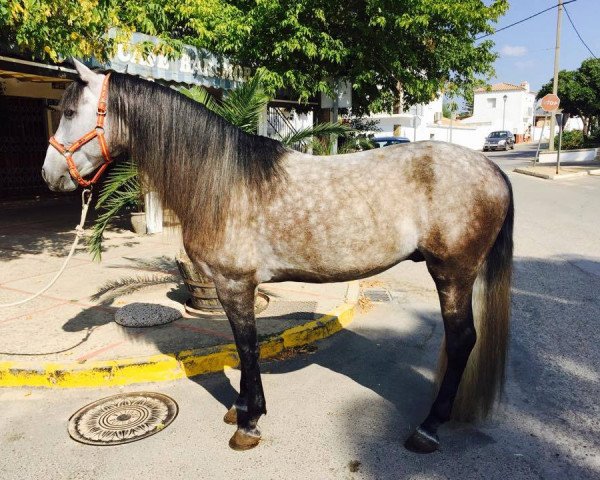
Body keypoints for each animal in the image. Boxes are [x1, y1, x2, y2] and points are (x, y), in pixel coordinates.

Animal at [42, 61, 512, 454]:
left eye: (70, 111)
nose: (49, 176)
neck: (224, 181)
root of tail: (492, 171)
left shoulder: (235, 285)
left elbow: (248, 347)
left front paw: (248, 423)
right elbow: (241, 347)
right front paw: (241, 409)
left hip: (452, 273)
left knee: (462, 339)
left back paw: (428, 428)